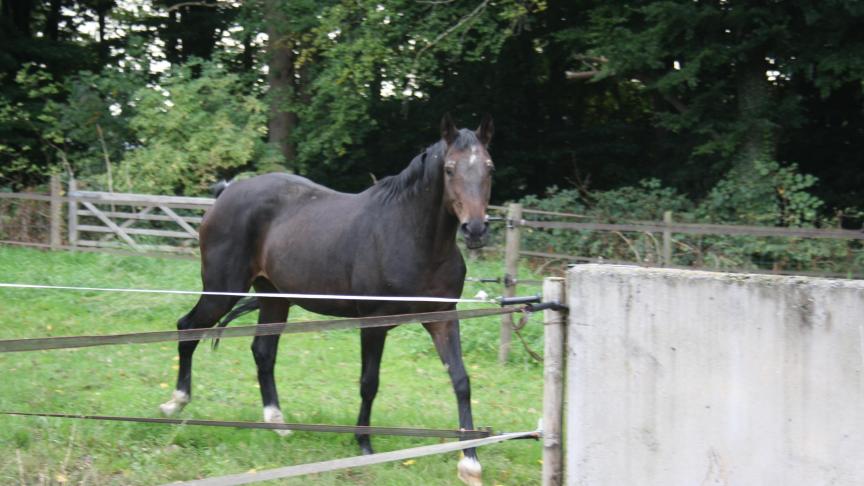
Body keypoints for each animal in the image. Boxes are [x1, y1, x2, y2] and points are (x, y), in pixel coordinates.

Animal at [159, 114, 495, 485]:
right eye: (449, 169)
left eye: (489, 168)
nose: (475, 229)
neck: (411, 236)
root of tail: (226, 193)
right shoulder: (374, 323)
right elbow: (369, 382)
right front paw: (364, 444)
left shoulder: (443, 319)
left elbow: (461, 381)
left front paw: (470, 463)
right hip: (222, 291)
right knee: (187, 328)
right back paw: (175, 403)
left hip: (274, 298)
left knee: (262, 352)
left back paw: (278, 424)